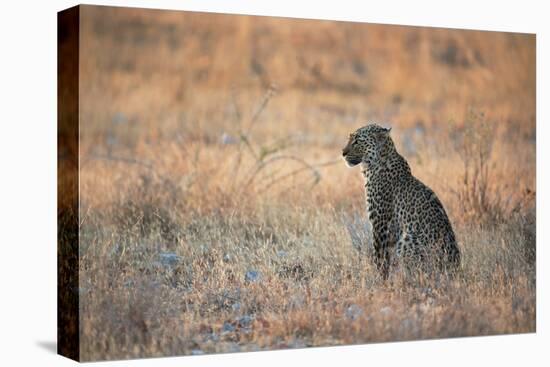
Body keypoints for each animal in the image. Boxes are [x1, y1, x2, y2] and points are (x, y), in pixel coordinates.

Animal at [342, 123, 464, 278]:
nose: (343, 153)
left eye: (357, 141)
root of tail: (455, 269)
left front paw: (379, 279)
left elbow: (380, 257)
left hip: (408, 239)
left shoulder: (380, 225)